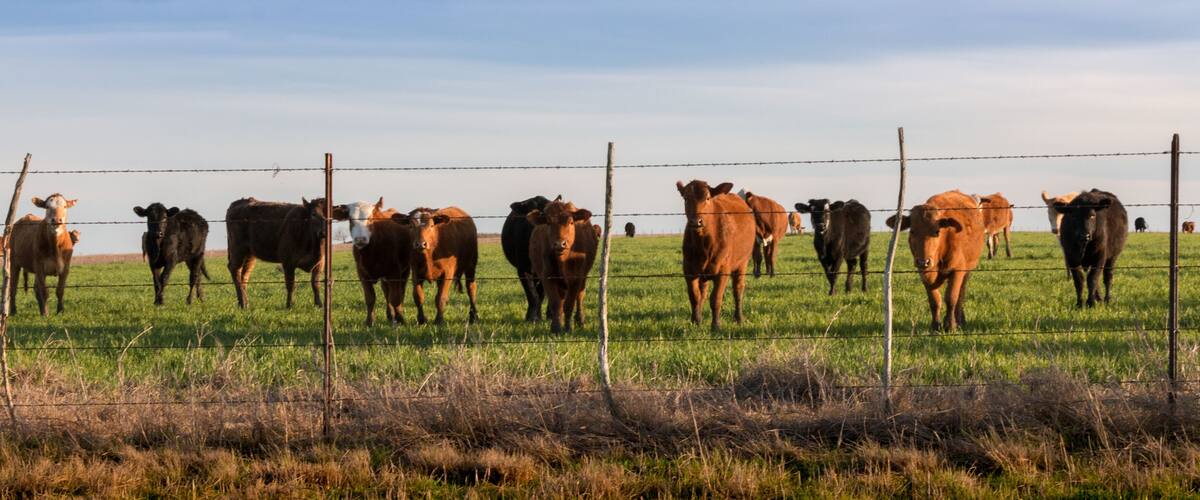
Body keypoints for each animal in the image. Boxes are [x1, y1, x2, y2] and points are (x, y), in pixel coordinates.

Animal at [334, 198, 411, 326]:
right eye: (351, 220)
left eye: (370, 218)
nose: (360, 239)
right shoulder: (362, 274)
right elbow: (370, 298)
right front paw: (369, 321)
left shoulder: (394, 272)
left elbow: (395, 298)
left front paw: (400, 319)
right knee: (386, 292)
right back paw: (390, 315)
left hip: (405, 271)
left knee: (401, 292)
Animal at [526, 199, 598, 333]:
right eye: (548, 222)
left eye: (571, 222)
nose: (560, 244)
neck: (563, 261)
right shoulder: (547, 277)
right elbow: (556, 304)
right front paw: (556, 328)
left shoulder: (576, 279)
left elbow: (569, 304)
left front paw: (568, 328)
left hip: (582, 279)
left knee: (580, 297)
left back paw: (580, 320)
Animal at [676, 180, 755, 330]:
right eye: (686, 198)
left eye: (707, 198)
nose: (696, 221)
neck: (703, 244)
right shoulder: (689, 269)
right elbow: (694, 296)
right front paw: (696, 322)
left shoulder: (723, 270)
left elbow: (716, 298)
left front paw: (716, 326)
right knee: (703, 292)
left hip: (742, 263)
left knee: (738, 289)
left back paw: (739, 318)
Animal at [886, 190, 984, 332]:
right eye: (912, 231)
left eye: (937, 231)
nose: (923, 262)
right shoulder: (924, 274)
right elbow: (934, 300)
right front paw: (935, 325)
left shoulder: (957, 270)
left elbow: (951, 297)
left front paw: (950, 325)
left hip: (968, 269)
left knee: (961, 294)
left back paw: (960, 320)